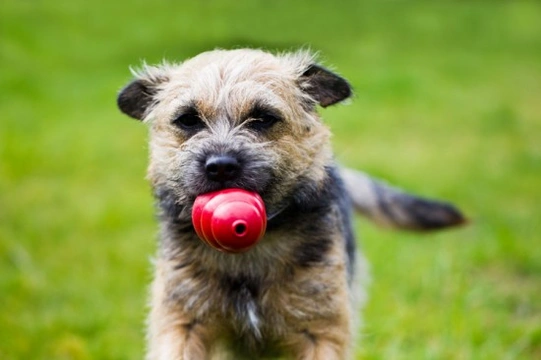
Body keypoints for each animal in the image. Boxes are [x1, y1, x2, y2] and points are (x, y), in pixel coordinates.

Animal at [116, 48, 462, 360]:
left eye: (263, 118)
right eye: (188, 120)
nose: (220, 166)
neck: (249, 254)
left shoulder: (321, 330)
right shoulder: (182, 323)